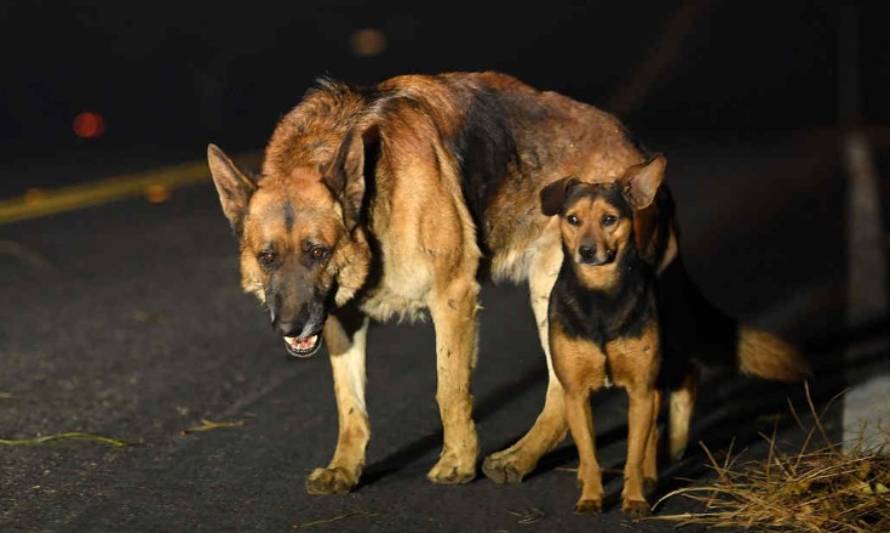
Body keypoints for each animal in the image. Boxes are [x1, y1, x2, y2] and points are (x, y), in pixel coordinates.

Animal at [206, 70, 804, 494]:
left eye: (318, 251)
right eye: (267, 257)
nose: (290, 326)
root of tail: (641, 160)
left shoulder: (452, 298)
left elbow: (449, 390)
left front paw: (457, 462)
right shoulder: (341, 318)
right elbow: (349, 405)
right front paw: (346, 468)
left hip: (554, 289)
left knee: (574, 388)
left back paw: (529, 459)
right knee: (654, 375)